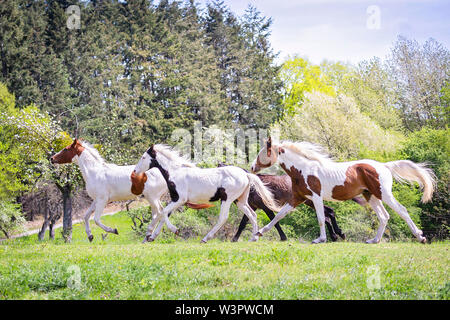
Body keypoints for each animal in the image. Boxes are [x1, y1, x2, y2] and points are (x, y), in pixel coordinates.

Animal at [132, 144, 280, 242]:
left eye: (143, 157)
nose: (134, 171)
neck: (175, 172)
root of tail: (245, 174)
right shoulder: (174, 199)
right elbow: (164, 214)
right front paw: (152, 237)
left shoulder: (180, 199)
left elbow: (163, 212)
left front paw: (174, 230)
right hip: (240, 201)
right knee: (252, 215)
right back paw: (254, 238)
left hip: (227, 199)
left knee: (223, 218)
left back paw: (205, 238)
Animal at [251, 136, 434, 244]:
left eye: (263, 152)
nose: (252, 167)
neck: (303, 170)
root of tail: (384, 166)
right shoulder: (298, 198)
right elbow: (279, 215)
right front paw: (259, 233)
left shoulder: (315, 198)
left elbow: (321, 218)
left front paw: (321, 239)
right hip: (371, 196)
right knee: (384, 216)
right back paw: (374, 240)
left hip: (384, 194)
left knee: (402, 211)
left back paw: (421, 237)